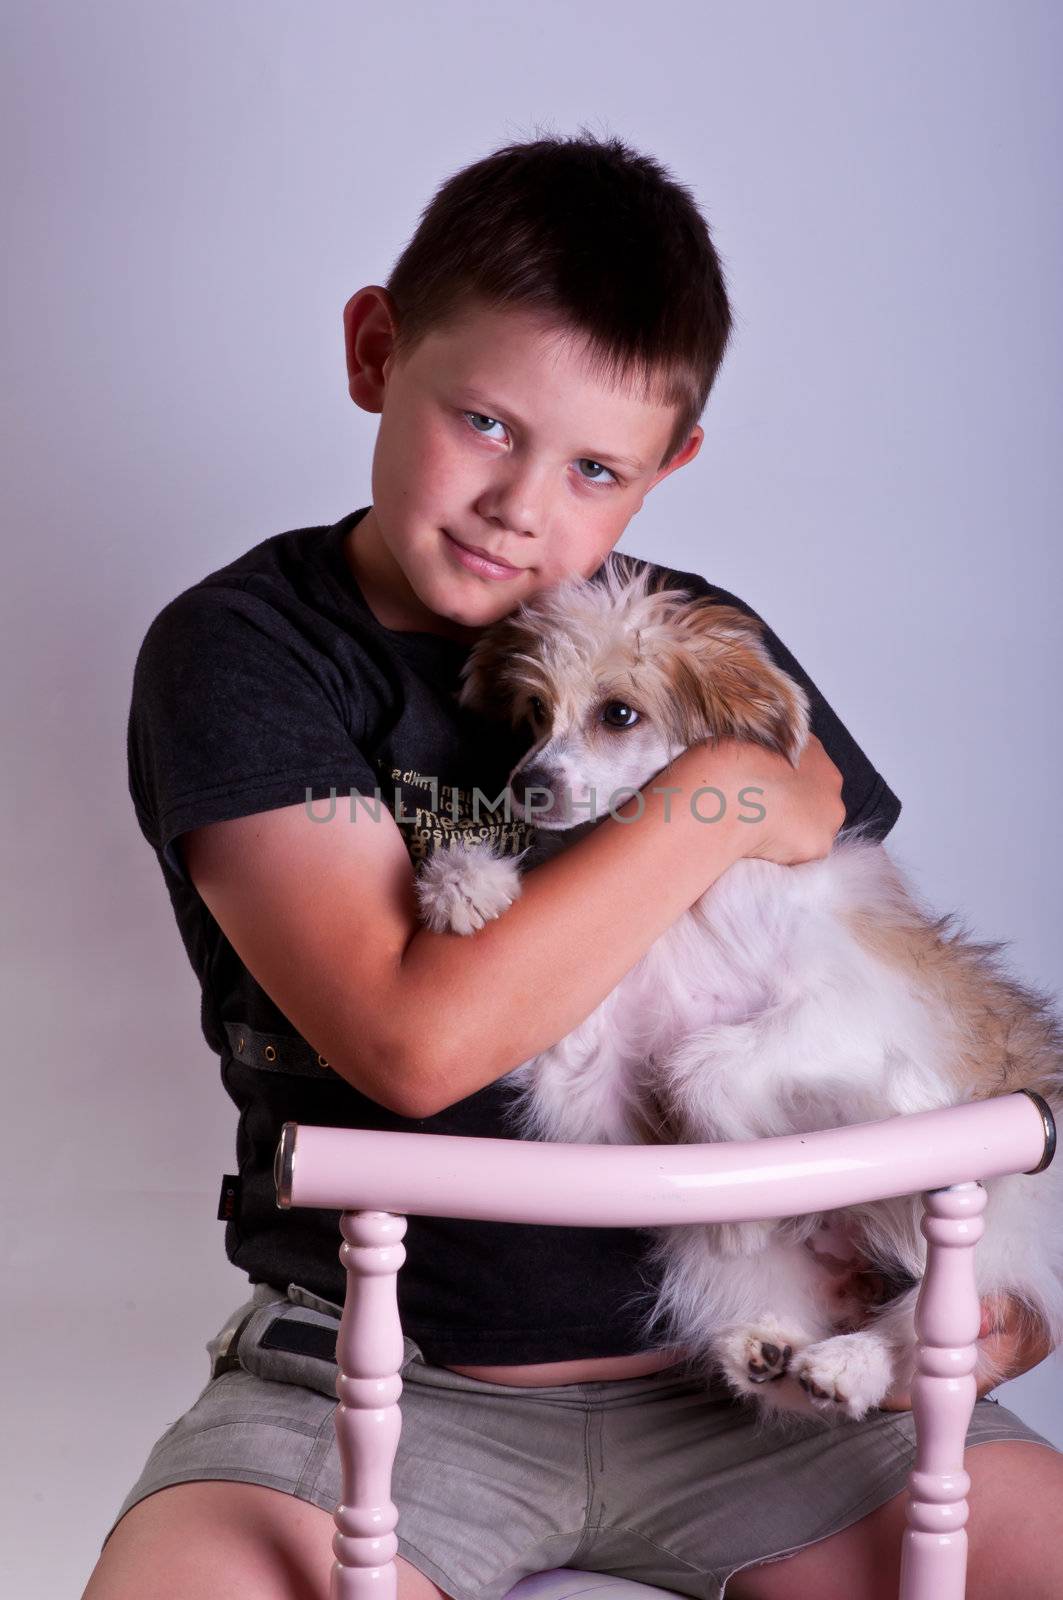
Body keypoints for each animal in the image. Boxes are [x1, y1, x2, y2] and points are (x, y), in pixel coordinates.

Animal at [409, 553, 1056, 1427]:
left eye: (619, 713)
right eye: (536, 710)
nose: (526, 786)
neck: (678, 905)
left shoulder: (844, 1007)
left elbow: (701, 1061)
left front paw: (744, 1196)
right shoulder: (587, 1066)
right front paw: (467, 883)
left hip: (1000, 1217)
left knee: (928, 1318)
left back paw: (850, 1361)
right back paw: (768, 1349)